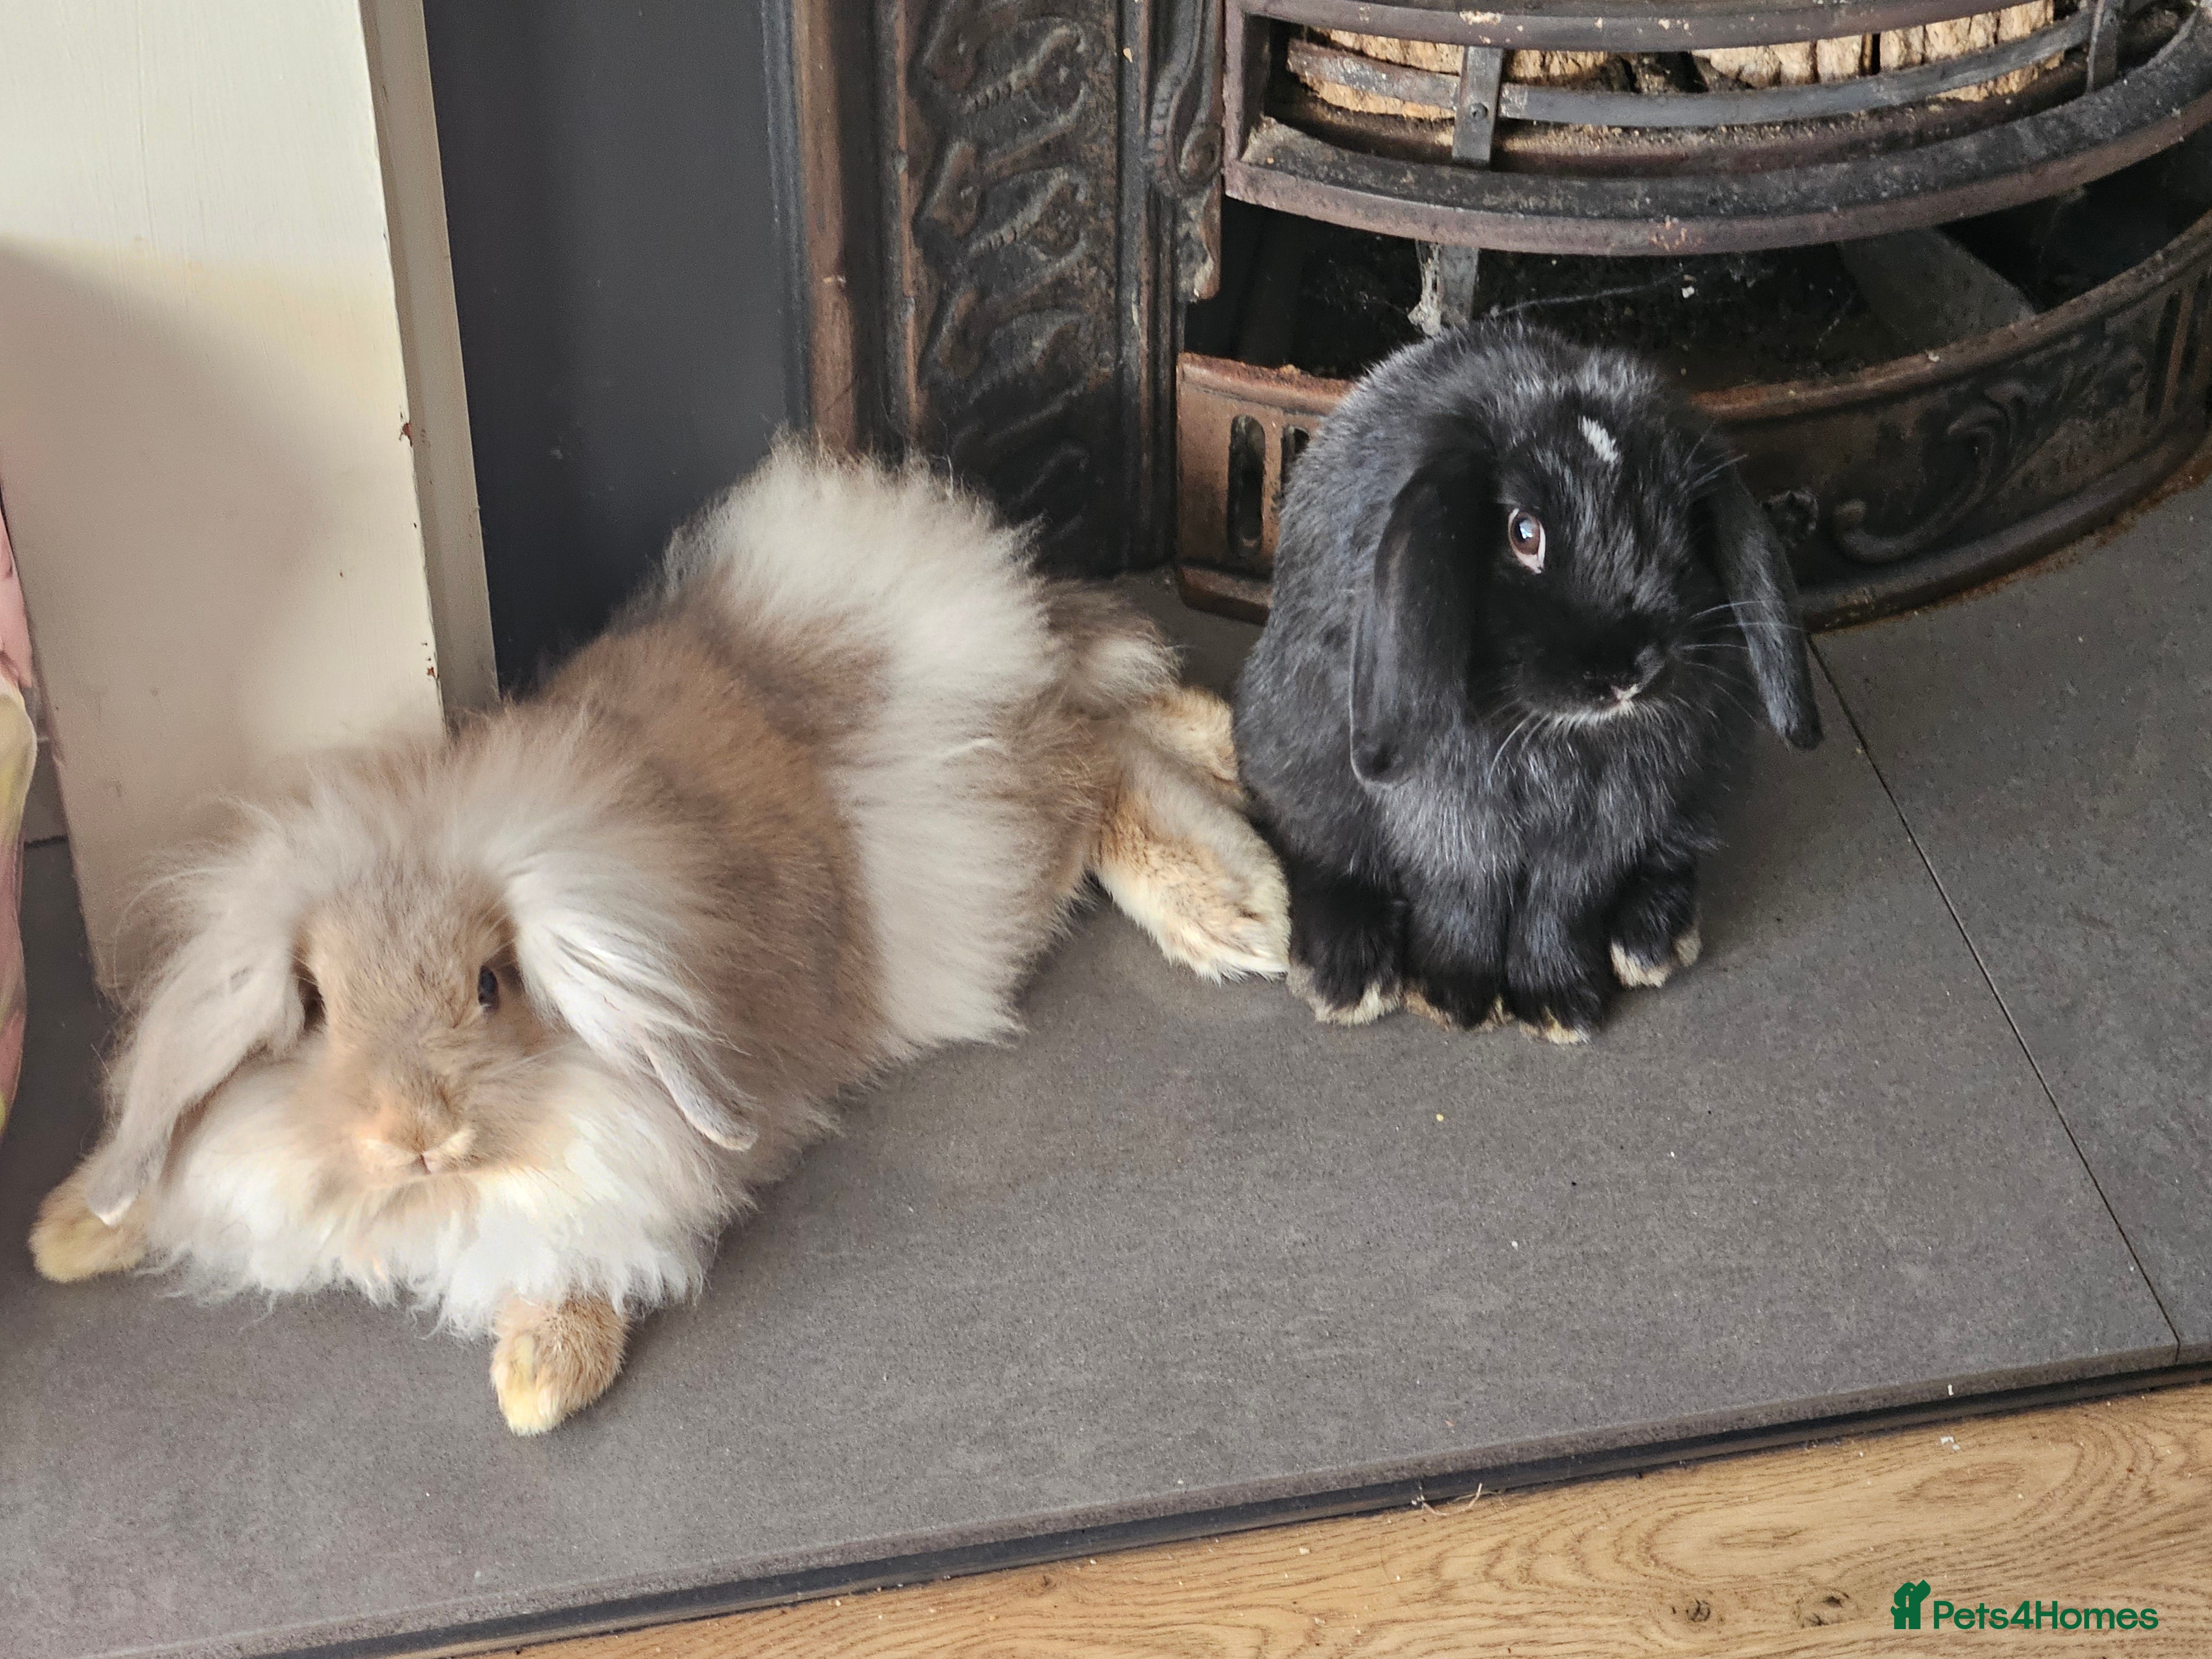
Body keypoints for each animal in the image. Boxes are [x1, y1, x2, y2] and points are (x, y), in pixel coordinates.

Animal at [29, 442, 1288, 1435]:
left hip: (971, 851)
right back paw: (1225, 756)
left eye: (489, 986)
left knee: (1096, 763)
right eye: (317, 1007)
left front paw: (538, 1387)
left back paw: (1231, 899)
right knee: (1109, 712)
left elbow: (575, 1253)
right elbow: (160, 1174)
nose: (419, 1136)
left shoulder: (621, 1170)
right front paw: (68, 1236)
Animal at [1233, 320, 1821, 1045]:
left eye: (1680, 523)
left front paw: (1556, 1005)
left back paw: (1649, 943)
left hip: (1706, 776)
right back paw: (1346, 975)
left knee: (1675, 854)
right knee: (1323, 853)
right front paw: (1453, 998)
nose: (1626, 673)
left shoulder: (1603, 829)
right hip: (1295, 760)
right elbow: (1463, 897)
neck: (1553, 737)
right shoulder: (1448, 823)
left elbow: (1560, 904)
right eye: (1523, 532)